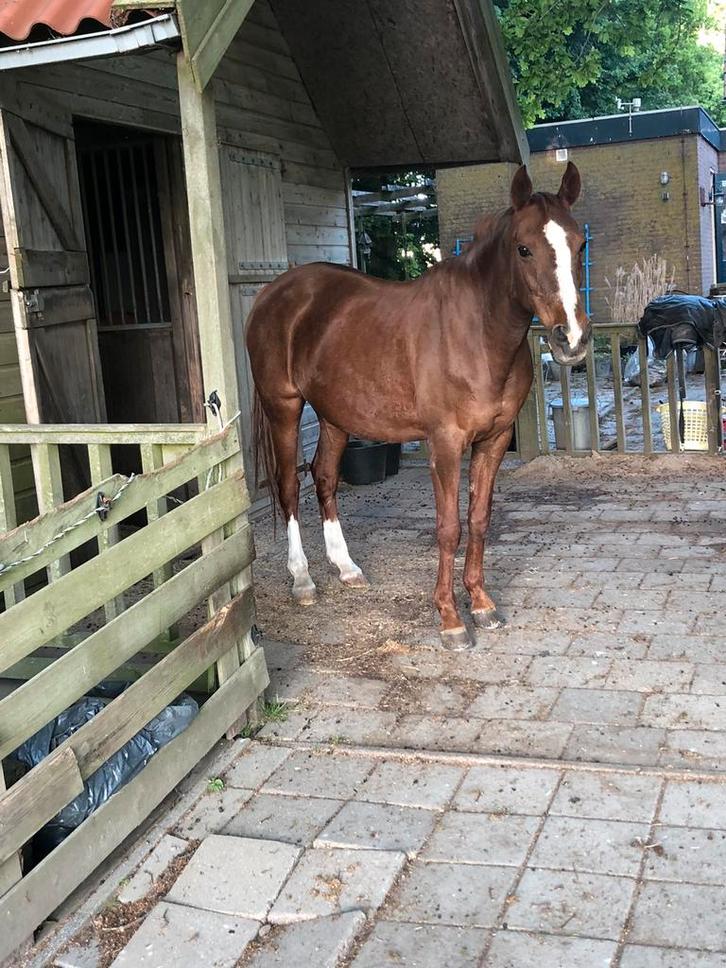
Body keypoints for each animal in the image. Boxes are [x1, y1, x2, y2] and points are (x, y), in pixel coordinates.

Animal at [246, 162, 591, 649]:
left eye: (579, 245)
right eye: (524, 249)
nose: (571, 340)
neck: (478, 333)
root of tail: (273, 292)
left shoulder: (494, 440)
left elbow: (479, 520)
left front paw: (481, 603)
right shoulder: (444, 444)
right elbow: (449, 528)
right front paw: (450, 619)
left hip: (334, 415)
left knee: (325, 477)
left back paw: (347, 568)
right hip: (284, 406)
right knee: (289, 486)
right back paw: (303, 580)